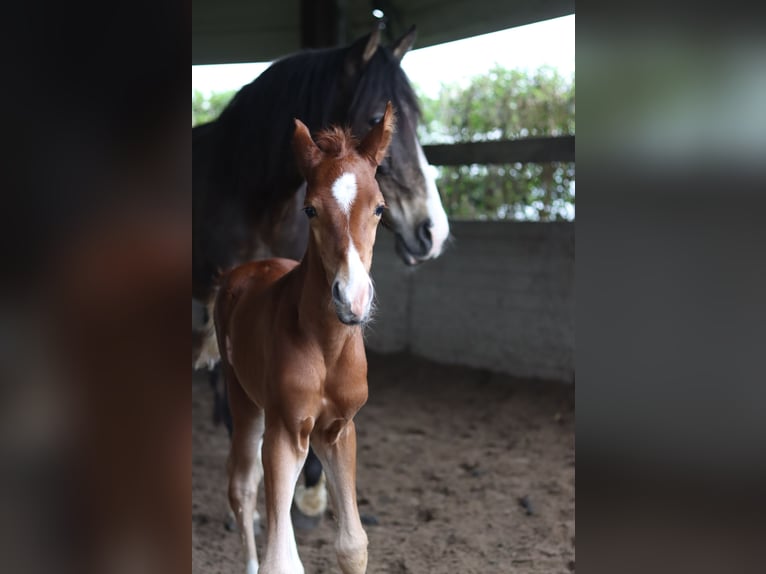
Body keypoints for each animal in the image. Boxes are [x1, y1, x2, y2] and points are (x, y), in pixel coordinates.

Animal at [214, 103, 396, 574]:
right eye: (310, 210)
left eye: (380, 209)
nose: (353, 298)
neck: (327, 347)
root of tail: (243, 271)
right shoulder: (286, 429)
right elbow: (281, 559)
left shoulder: (338, 431)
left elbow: (353, 544)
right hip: (246, 404)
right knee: (242, 488)